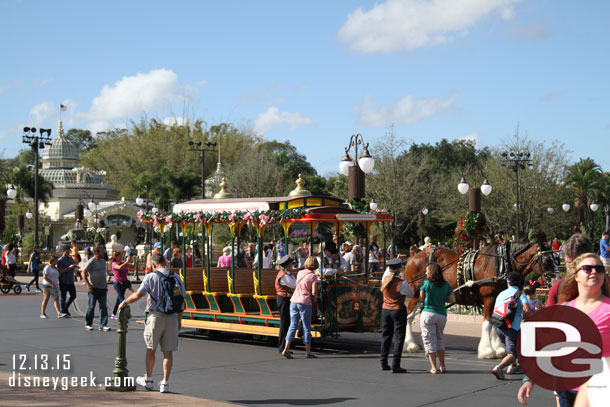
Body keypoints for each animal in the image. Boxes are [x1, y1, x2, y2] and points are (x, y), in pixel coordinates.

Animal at [402, 242, 548, 360]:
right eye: (546, 259)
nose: (551, 279)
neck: (501, 264)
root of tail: (413, 256)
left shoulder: (497, 299)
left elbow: (495, 323)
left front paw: (499, 350)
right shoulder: (490, 298)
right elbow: (488, 324)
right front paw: (488, 351)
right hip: (415, 295)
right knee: (408, 317)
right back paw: (410, 345)